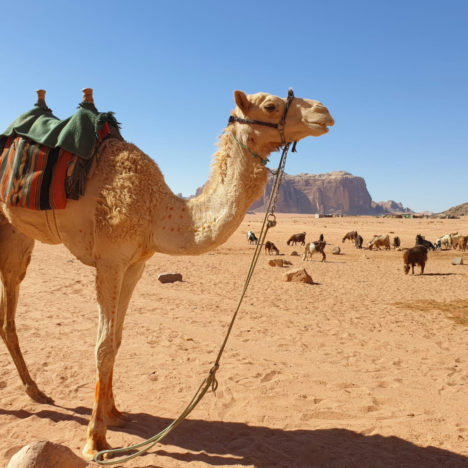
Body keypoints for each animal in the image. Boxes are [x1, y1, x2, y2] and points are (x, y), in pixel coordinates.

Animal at [0, 87, 332, 458]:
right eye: (271, 105)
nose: (323, 112)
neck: (157, 210)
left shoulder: (135, 263)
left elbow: (116, 341)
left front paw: (114, 414)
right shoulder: (110, 260)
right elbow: (102, 346)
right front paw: (95, 440)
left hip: (17, 235)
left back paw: (35, 391)